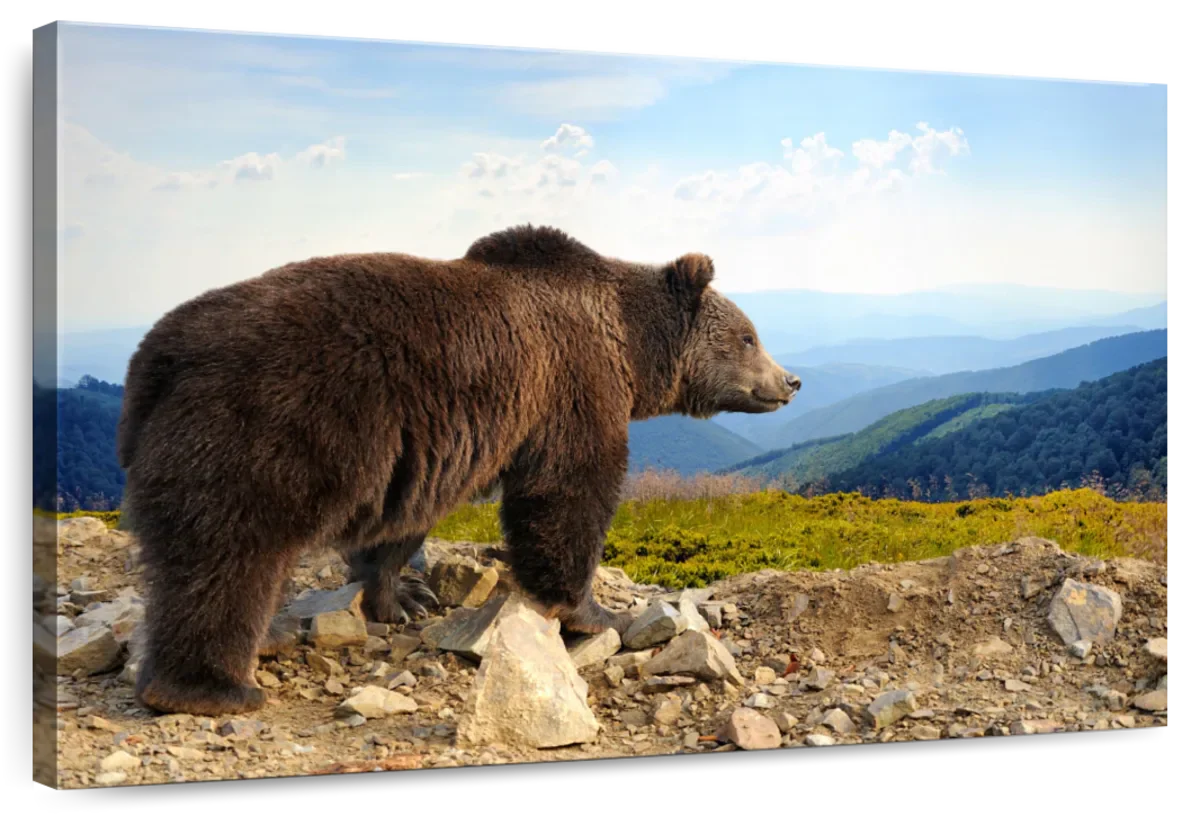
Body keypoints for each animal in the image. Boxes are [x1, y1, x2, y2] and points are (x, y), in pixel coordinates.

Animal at [117, 224, 802, 716]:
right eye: (748, 336)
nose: (790, 381)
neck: (631, 348)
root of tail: (156, 357)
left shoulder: (429, 445)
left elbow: (403, 523)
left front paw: (402, 596)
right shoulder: (570, 386)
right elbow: (569, 491)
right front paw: (596, 612)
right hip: (270, 423)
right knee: (228, 554)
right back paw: (212, 686)